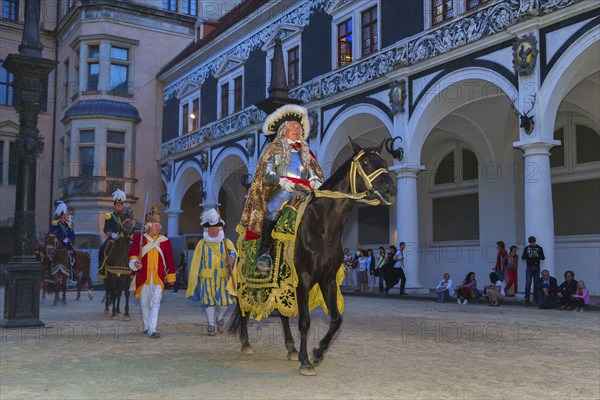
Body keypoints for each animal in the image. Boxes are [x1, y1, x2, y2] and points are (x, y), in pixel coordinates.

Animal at [231, 138, 398, 376]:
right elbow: (304, 321)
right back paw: (246, 343)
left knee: (282, 314)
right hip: (245, 280)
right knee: (242, 306)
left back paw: (290, 348)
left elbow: (336, 320)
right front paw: (306, 361)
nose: (390, 191)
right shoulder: (303, 278)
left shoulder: (326, 280)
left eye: (384, 162)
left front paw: (317, 353)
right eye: (365, 163)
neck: (323, 225)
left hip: (281, 281)